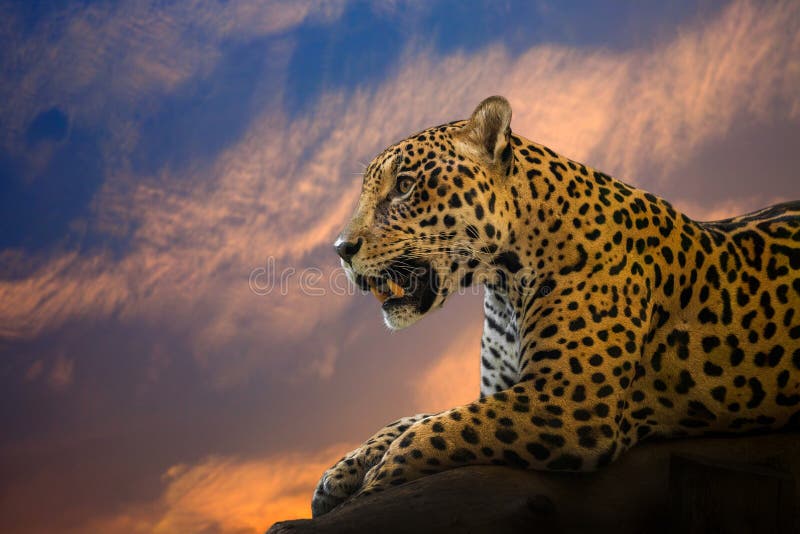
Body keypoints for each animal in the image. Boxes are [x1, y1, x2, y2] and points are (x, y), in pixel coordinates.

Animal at [312, 95, 800, 517]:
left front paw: (373, 484)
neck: (504, 286)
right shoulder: (503, 388)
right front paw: (339, 475)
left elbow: (440, 430)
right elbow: (414, 419)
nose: (341, 249)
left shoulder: (565, 398)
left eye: (405, 186)